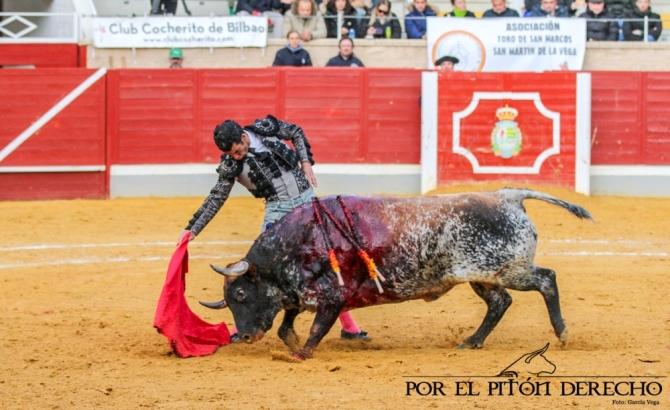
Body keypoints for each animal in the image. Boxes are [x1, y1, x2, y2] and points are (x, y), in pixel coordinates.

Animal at [200, 187, 592, 360]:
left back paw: (562, 332)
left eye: (240, 295)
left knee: (546, 279)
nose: (244, 336)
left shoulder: (332, 297)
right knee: (499, 303)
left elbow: (315, 327)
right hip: (482, 275)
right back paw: (472, 340)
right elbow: (286, 324)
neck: (295, 243)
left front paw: (302, 353)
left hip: (508, 268)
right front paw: (293, 344)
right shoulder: (300, 294)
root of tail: (507, 195)